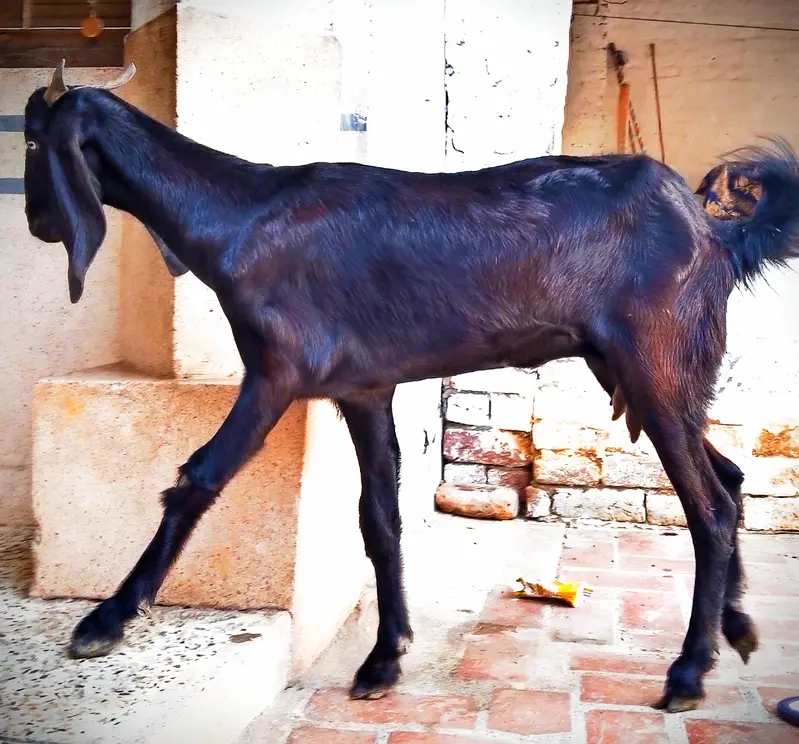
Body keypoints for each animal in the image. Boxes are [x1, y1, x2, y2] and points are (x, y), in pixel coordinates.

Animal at [23, 61, 799, 711]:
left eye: (31, 143)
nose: (33, 220)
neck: (240, 214)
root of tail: (716, 234)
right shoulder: (364, 387)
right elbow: (378, 516)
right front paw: (384, 657)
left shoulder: (276, 372)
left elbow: (199, 477)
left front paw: (105, 619)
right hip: (645, 375)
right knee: (729, 478)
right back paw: (736, 625)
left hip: (653, 365)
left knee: (710, 508)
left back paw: (688, 671)